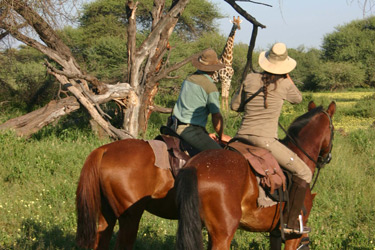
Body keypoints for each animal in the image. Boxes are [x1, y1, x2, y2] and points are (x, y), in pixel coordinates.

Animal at [176, 100, 338, 249]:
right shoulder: (294, 236)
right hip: (223, 236)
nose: (327, 158)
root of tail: (195, 166)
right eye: (333, 131)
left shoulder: (275, 232)